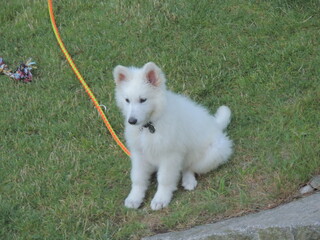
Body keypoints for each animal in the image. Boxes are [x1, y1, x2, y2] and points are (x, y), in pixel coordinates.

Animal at [113, 61, 232, 210]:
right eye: (127, 100)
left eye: (143, 100)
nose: (132, 121)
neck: (150, 125)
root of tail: (216, 124)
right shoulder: (139, 153)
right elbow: (138, 177)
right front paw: (135, 198)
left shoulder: (170, 155)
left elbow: (164, 179)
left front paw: (160, 199)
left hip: (214, 152)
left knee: (189, 167)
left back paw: (188, 181)